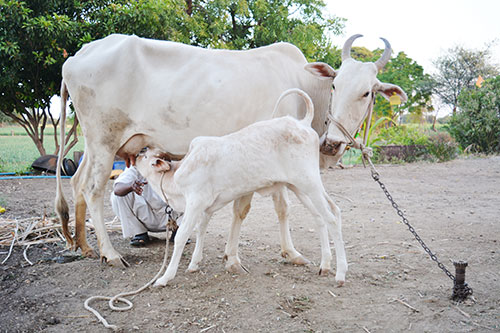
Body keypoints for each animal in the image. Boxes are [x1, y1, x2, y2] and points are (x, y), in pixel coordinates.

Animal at [54, 33, 406, 266]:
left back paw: (85, 246)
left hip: (95, 145)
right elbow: (277, 207)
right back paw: (110, 254)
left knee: (77, 184)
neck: (305, 86)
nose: (332, 142)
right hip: (104, 141)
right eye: (335, 85)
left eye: (367, 93)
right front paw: (289, 252)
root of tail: (76, 56)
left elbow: (253, 209)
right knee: (93, 189)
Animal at [135, 89, 348, 286]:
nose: (137, 153)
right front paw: (194, 263)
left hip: (310, 183)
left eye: (145, 155)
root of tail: (302, 123)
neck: (177, 176)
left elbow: (182, 236)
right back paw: (325, 265)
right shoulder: (206, 207)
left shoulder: (195, 202)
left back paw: (340, 274)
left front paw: (165, 277)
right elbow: (201, 228)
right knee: (324, 215)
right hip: (299, 187)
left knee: (331, 217)